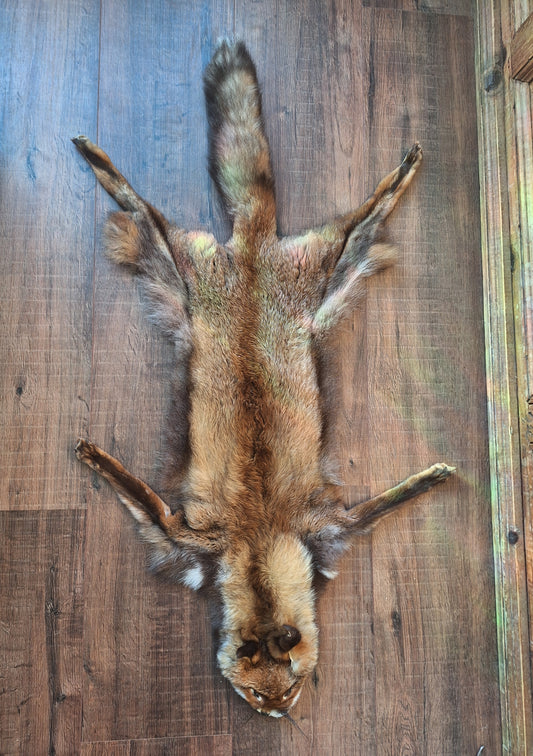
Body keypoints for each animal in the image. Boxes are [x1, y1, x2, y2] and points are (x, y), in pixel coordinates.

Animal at [74, 40, 454, 718]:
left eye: (294, 685)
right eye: (254, 694)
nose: (277, 716)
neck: (258, 535)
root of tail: (251, 255)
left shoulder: (327, 526)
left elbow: (389, 500)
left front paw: (429, 478)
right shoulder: (189, 535)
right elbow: (134, 488)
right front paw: (97, 458)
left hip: (324, 273)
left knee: (367, 215)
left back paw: (401, 170)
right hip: (182, 269)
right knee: (140, 206)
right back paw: (100, 161)